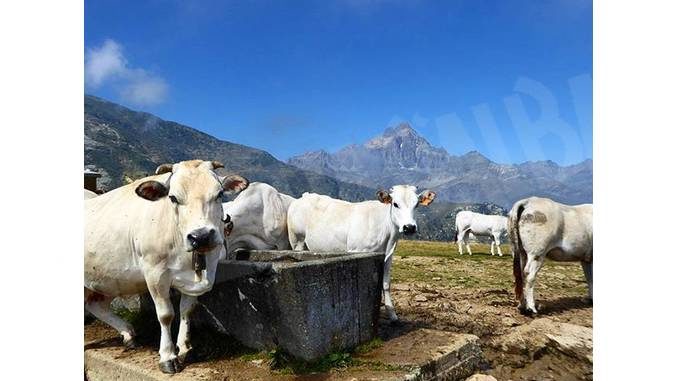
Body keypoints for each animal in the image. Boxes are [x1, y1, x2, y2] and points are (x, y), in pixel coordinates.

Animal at [84, 159, 250, 372]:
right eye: (173, 197)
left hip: (108, 278)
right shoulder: (155, 273)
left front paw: (185, 348)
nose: (201, 236)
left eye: (219, 194)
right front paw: (168, 356)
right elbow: (166, 315)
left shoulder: (201, 275)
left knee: (96, 305)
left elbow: (187, 310)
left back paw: (128, 334)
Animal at [286, 184, 436, 320]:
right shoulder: (355, 251)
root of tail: (304, 196)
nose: (409, 227)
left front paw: (392, 314)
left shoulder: (388, 255)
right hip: (297, 240)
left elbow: (386, 283)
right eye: (395, 204)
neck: (387, 235)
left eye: (416, 204)